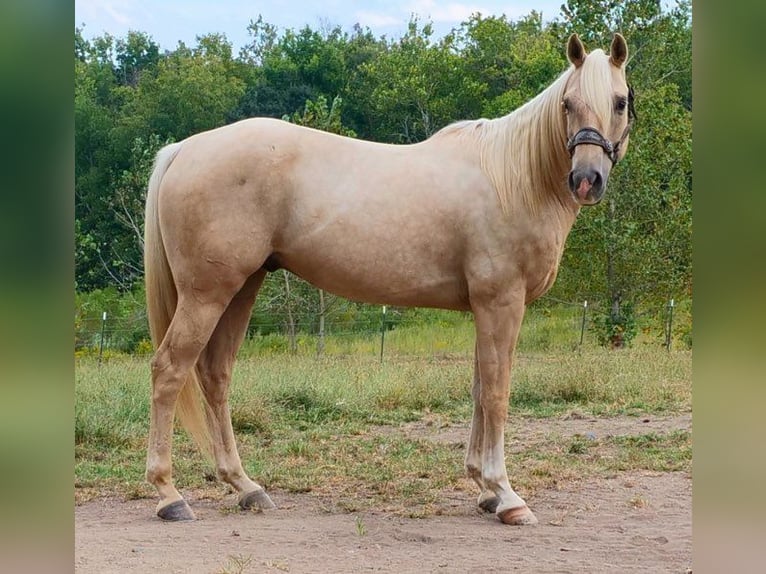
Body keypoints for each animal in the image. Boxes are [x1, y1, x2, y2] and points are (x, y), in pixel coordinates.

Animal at [143, 33, 633, 525]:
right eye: (568, 103)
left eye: (620, 102)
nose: (586, 179)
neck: (514, 179)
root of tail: (183, 149)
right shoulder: (501, 302)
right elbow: (497, 394)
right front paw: (506, 496)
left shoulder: (485, 308)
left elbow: (479, 390)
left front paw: (484, 489)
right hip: (206, 294)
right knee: (169, 370)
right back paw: (169, 495)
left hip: (241, 288)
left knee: (215, 375)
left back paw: (246, 487)